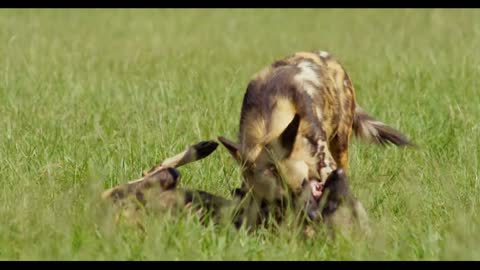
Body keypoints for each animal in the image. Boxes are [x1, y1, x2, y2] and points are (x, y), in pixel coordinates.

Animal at [218, 50, 412, 230]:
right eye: (282, 200)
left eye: (302, 185)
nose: (312, 215)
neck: (267, 124)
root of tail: (325, 56)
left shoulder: (325, 168)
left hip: (340, 147)